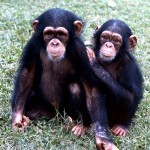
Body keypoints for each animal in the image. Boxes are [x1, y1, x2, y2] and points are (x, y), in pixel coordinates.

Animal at [85, 19, 143, 149]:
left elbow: (131, 96)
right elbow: (94, 93)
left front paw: (95, 65)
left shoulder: (129, 65)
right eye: (105, 37)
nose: (108, 45)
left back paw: (122, 126)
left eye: (116, 41)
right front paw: (103, 137)